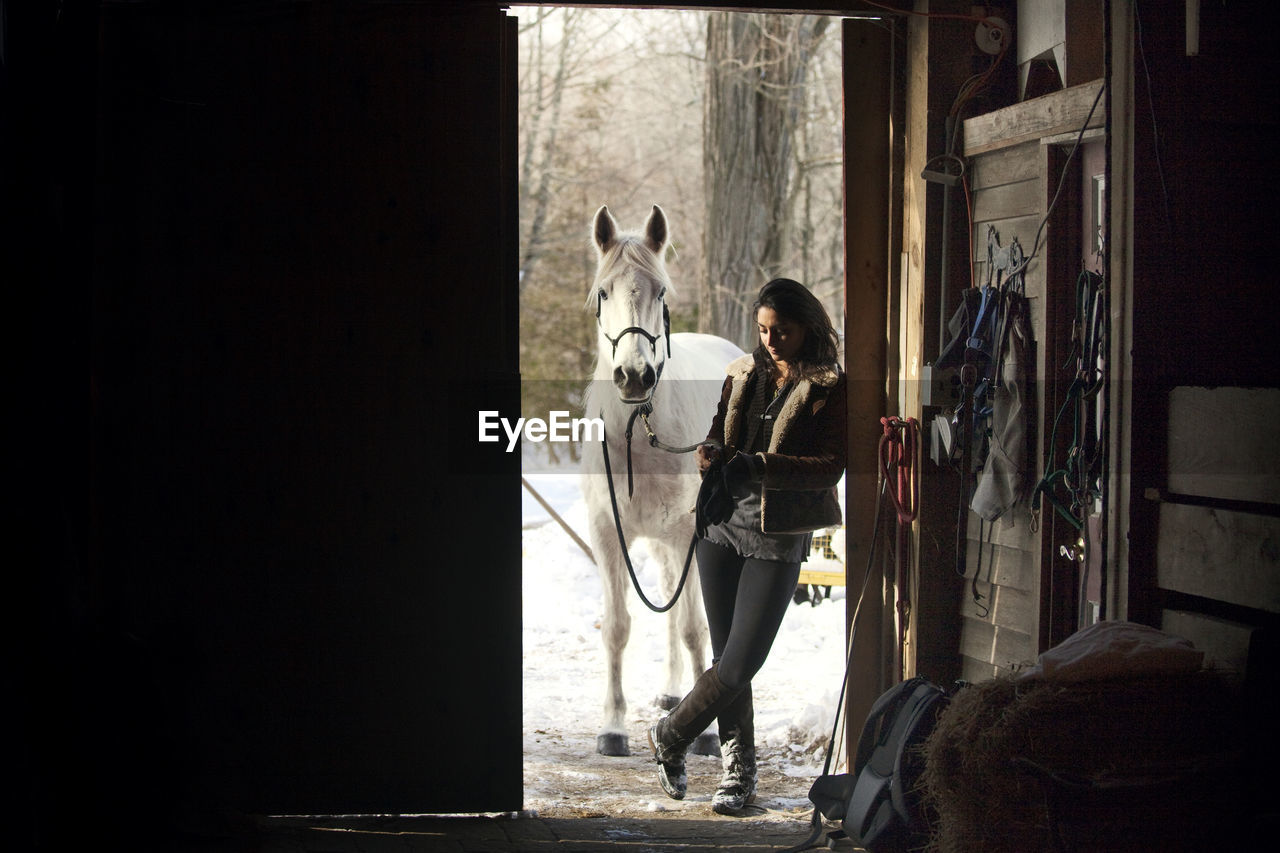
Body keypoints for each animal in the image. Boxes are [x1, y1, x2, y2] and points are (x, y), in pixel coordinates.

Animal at [578, 204, 747, 753]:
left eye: (660, 292)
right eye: (604, 292)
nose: (634, 376)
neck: (641, 434)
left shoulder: (689, 534)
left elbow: (695, 627)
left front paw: (706, 733)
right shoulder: (609, 536)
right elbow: (618, 627)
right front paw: (612, 728)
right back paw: (673, 694)